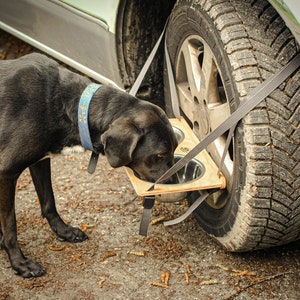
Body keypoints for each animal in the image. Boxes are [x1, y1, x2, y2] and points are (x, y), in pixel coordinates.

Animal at [0, 52, 177, 278]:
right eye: (160, 154)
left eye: (175, 147)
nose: (175, 184)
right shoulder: (6, 172)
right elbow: (10, 225)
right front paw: (19, 262)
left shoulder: (40, 161)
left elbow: (49, 202)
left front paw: (64, 231)